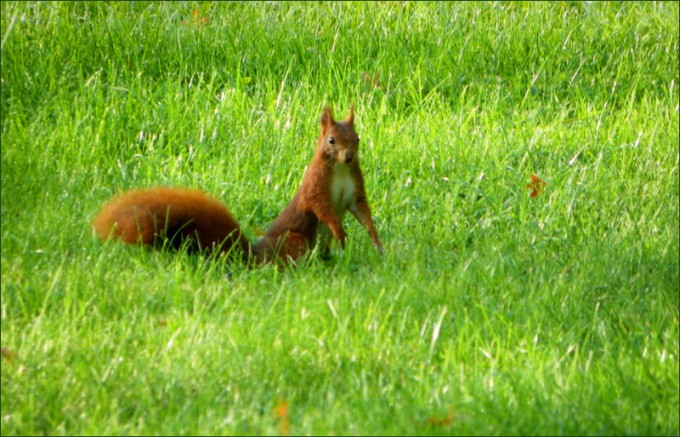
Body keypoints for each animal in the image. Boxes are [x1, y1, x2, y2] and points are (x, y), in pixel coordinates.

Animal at [92, 106, 383, 264]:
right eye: (331, 140)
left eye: (357, 138)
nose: (349, 156)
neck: (340, 169)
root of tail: (257, 256)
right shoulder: (316, 186)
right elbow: (322, 208)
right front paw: (340, 231)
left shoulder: (354, 187)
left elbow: (361, 211)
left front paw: (375, 239)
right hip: (297, 239)